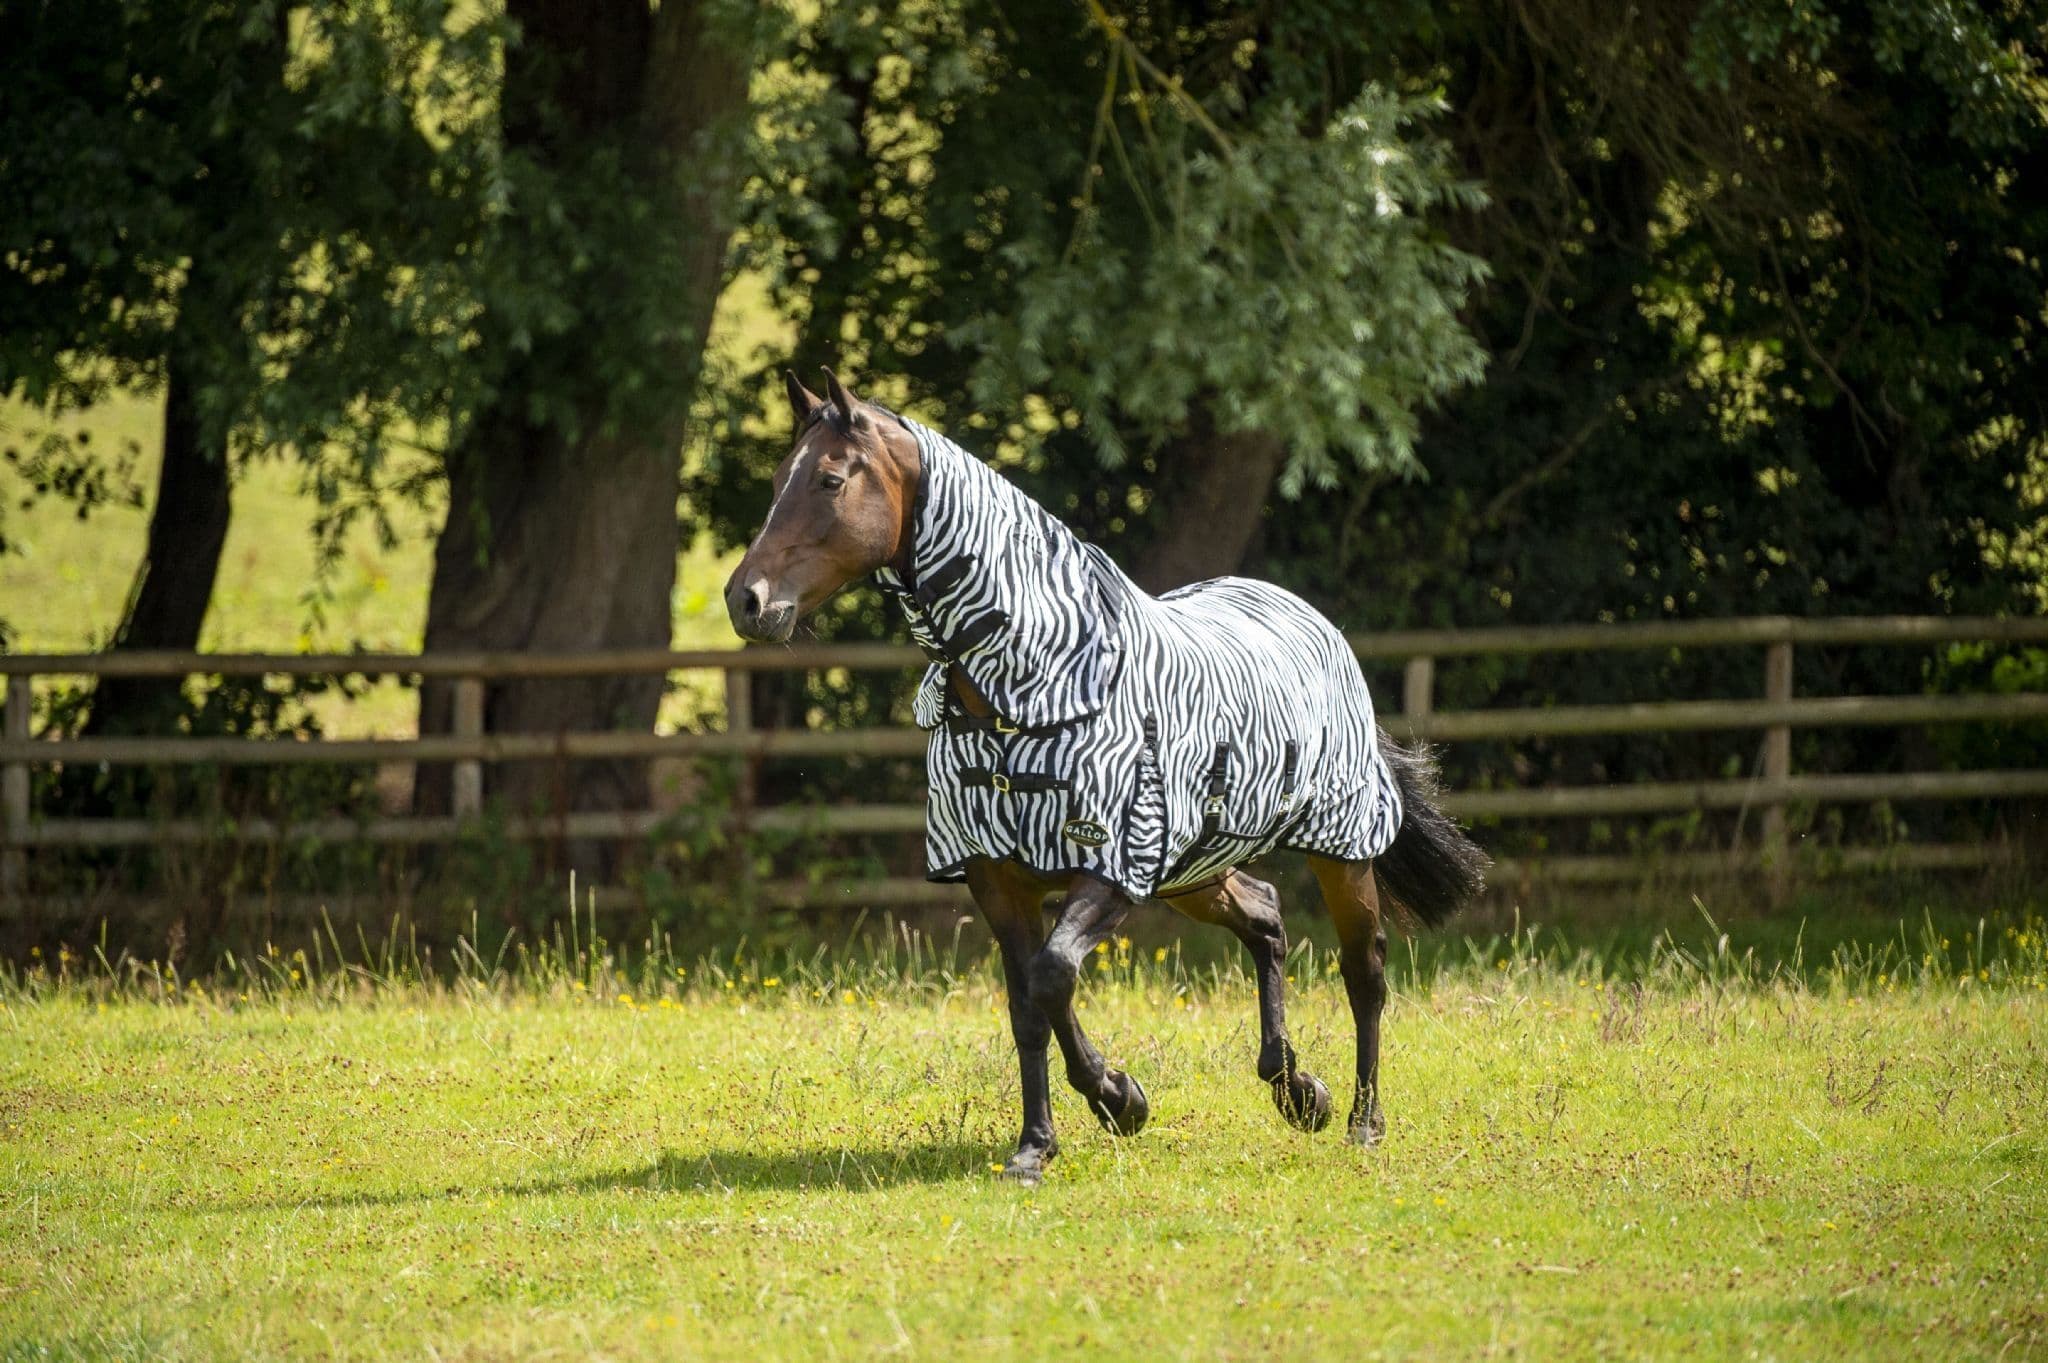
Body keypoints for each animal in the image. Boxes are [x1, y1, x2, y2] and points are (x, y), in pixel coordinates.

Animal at [726, 367, 1488, 1184]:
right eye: (777, 478)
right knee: (1265, 916)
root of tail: (1314, 622)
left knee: (1364, 971)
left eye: (831, 480)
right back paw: (1296, 1090)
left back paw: (1361, 1121)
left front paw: (1119, 1099)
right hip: (1195, 869)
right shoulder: (998, 876)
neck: (1033, 687)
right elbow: (1026, 1005)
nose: (746, 600)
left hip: (1337, 849)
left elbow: (1054, 975)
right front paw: (1038, 1144)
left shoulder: (1115, 864)